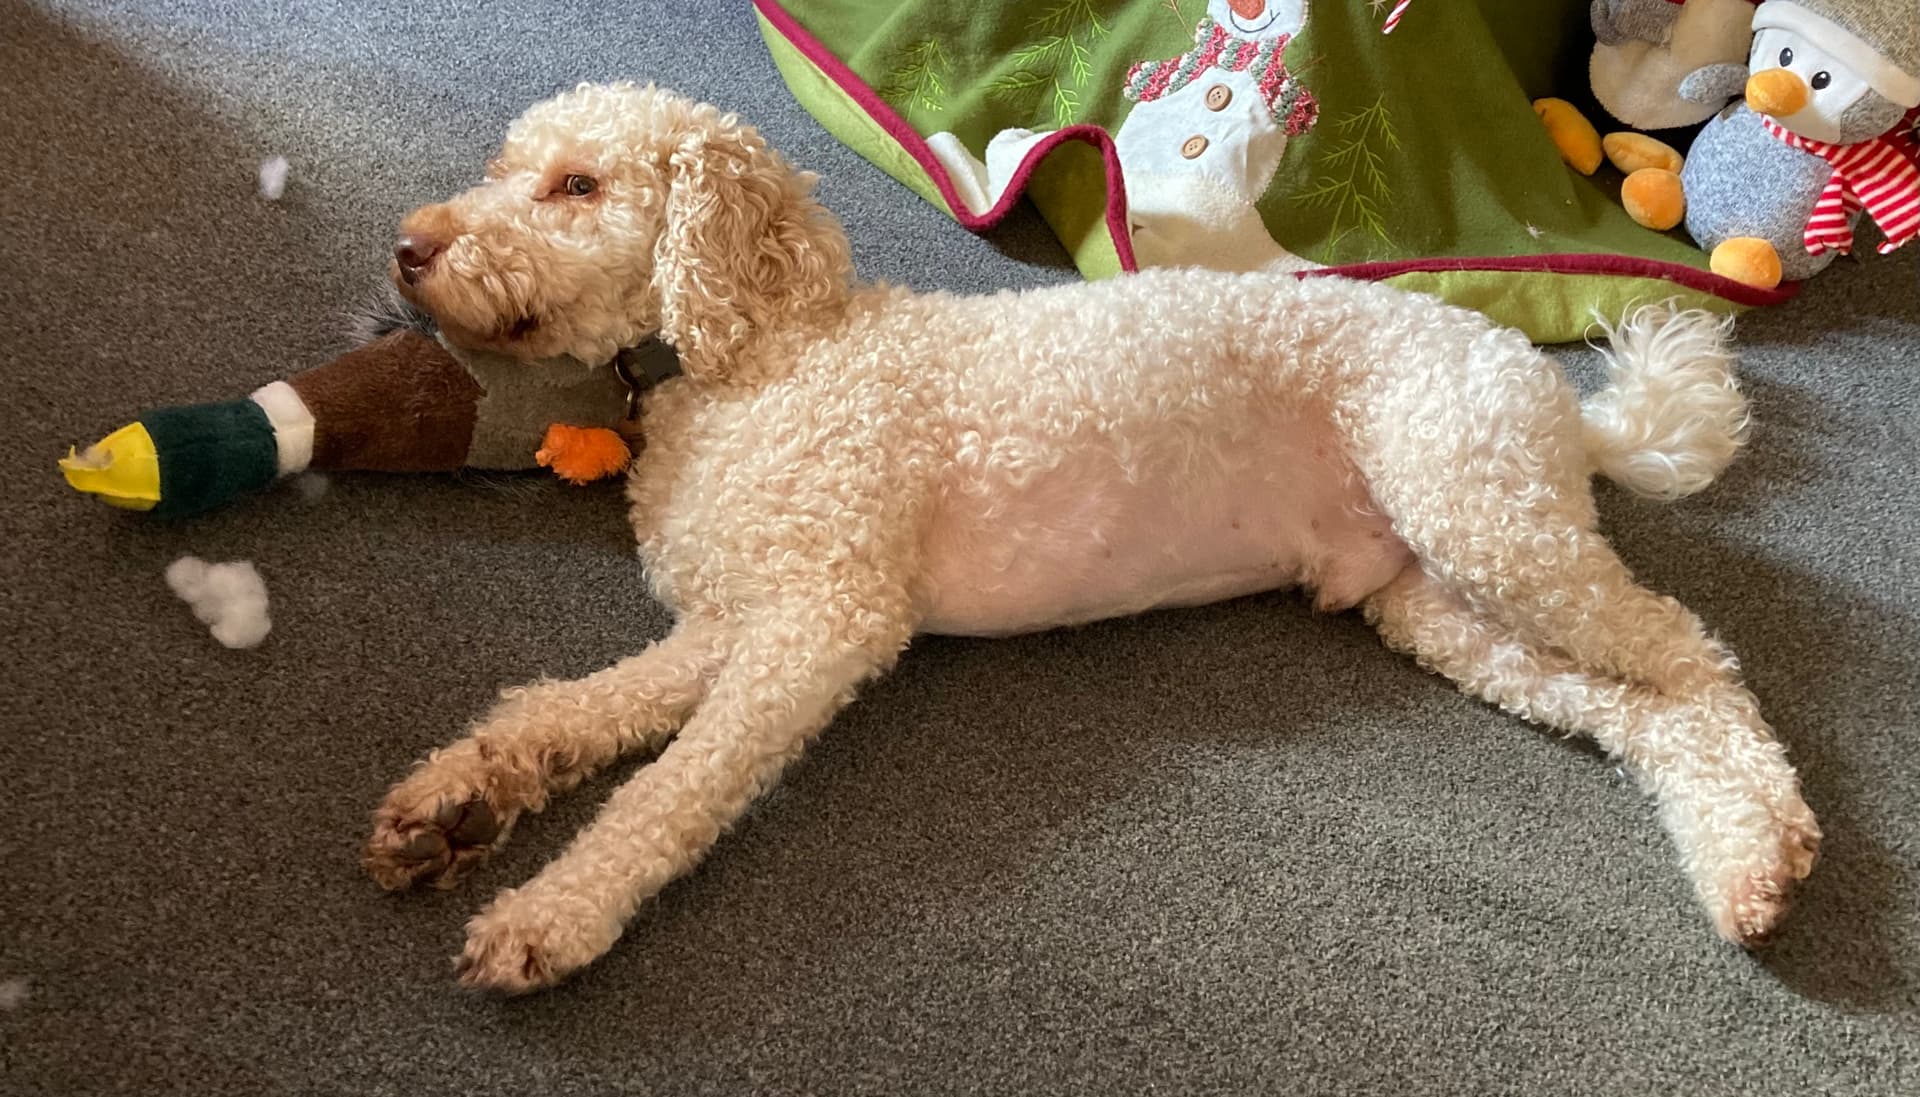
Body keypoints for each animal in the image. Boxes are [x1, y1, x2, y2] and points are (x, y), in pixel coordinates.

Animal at [365, 82, 1818, 993]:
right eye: (505, 169)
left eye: (575, 184)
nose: (407, 247)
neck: (763, 356)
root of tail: (1557, 398)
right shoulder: (740, 615)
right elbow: (569, 706)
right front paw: (459, 798)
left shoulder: (823, 619)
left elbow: (666, 792)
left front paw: (552, 912)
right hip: (1448, 601)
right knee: (1638, 710)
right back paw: (1731, 859)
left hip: (1482, 509)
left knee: (1698, 663)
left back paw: (1768, 849)